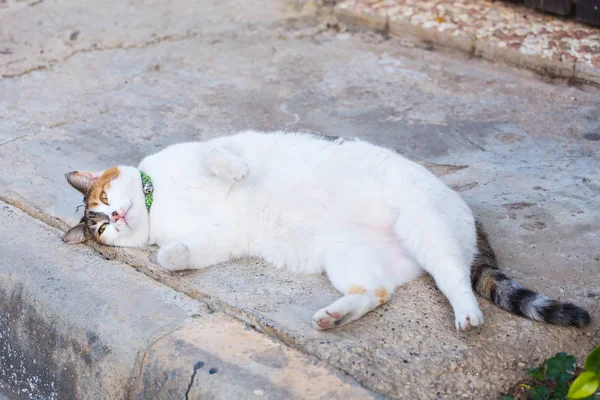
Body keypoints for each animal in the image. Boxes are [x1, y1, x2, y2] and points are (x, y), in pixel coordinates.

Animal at [62, 131, 592, 332]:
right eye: (100, 227)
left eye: (103, 201)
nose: (116, 219)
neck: (160, 202)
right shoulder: (212, 242)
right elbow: (173, 254)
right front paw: (167, 256)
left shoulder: (207, 147)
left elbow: (219, 155)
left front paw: (236, 172)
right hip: (350, 258)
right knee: (378, 292)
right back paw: (334, 316)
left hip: (424, 225)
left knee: (456, 279)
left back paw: (466, 315)